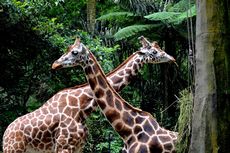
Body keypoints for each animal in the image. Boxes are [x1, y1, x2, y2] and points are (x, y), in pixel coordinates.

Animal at [1, 36, 175, 153]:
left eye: (160, 50)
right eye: (155, 51)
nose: (172, 58)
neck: (83, 106)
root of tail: (5, 134)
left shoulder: (78, 146)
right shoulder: (63, 146)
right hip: (14, 149)